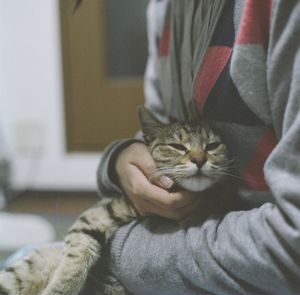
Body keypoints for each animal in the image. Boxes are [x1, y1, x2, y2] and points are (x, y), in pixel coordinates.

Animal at [0, 106, 237, 295]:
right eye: (177, 147)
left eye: (212, 146)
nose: (199, 159)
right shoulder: (95, 216)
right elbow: (76, 257)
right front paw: (60, 289)